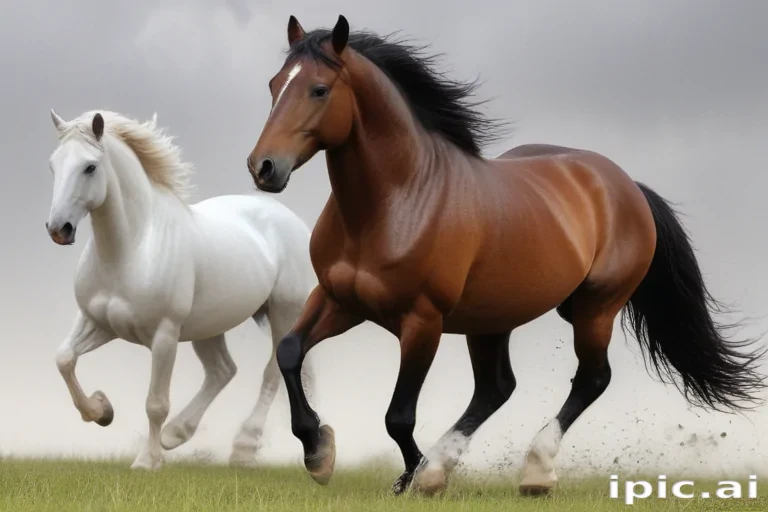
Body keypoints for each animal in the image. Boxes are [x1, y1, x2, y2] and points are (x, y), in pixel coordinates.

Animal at [45, 109, 316, 470]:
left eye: (90, 167)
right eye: (53, 165)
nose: (58, 229)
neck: (131, 250)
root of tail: (292, 222)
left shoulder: (164, 335)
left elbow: (155, 403)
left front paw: (147, 461)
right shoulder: (97, 322)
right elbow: (64, 359)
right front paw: (102, 410)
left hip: (283, 312)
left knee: (271, 372)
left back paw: (243, 447)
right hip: (209, 326)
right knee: (222, 371)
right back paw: (176, 434)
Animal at [244, 15, 766, 495]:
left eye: (318, 89)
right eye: (273, 84)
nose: (263, 167)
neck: (397, 201)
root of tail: (625, 185)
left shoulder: (421, 322)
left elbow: (399, 415)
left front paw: (410, 476)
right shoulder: (339, 301)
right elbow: (289, 352)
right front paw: (319, 452)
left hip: (594, 308)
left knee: (591, 379)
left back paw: (530, 470)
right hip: (492, 320)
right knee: (496, 389)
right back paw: (444, 467)